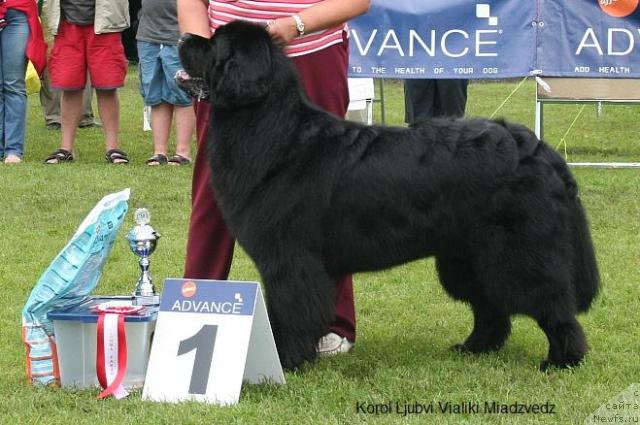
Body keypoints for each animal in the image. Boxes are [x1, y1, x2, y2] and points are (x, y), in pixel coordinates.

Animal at [180, 20, 600, 372]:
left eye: (214, 43)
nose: (184, 36)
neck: (274, 132)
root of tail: (535, 146)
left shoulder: (290, 260)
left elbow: (288, 311)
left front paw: (284, 361)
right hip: (466, 256)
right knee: (490, 305)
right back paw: (475, 347)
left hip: (518, 252)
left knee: (551, 303)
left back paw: (562, 359)